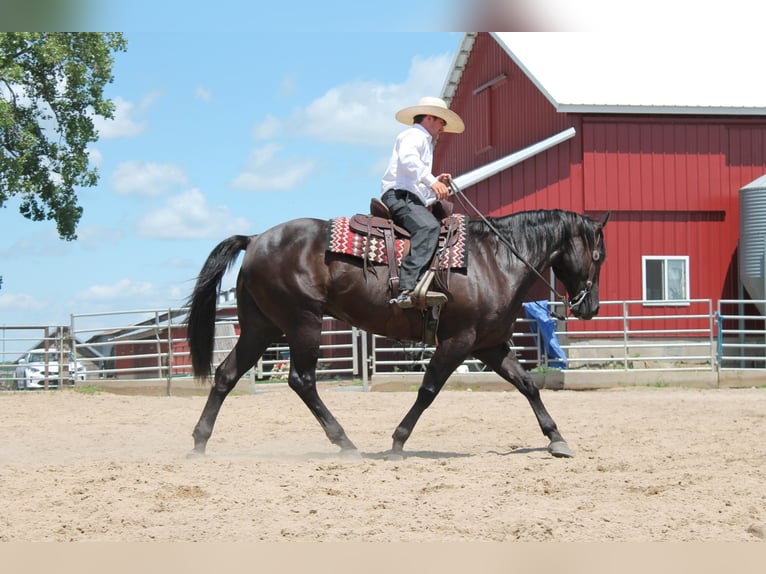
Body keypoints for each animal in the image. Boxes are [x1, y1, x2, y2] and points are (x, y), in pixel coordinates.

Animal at [188, 209, 612, 462]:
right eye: (598, 256)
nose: (590, 307)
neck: (494, 261)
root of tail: (256, 238)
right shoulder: (457, 341)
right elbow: (428, 390)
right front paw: (398, 441)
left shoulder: (489, 344)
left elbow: (528, 385)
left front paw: (556, 438)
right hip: (302, 322)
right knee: (302, 380)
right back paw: (345, 442)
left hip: (262, 327)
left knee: (226, 375)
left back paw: (199, 442)